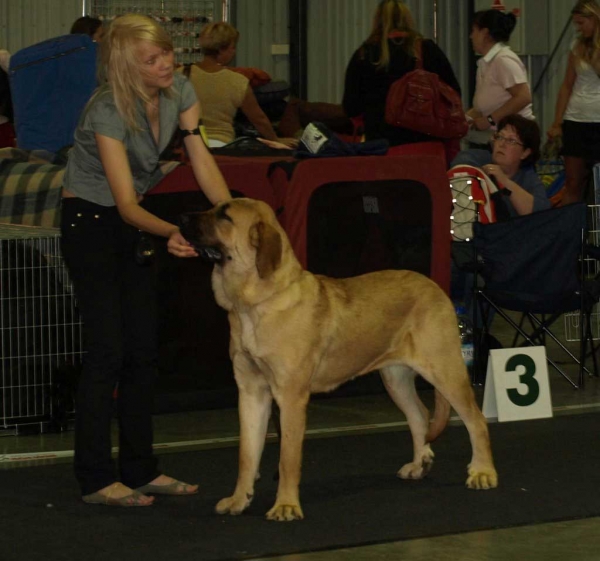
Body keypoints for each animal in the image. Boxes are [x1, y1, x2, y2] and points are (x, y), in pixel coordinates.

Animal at [180, 198, 500, 520]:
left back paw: (483, 472)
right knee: (420, 415)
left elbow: (288, 458)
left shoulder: (291, 396)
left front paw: (286, 505)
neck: (254, 304)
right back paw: (419, 464)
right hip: (395, 377)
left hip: (445, 369)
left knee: (476, 419)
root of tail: (435, 287)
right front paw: (238, 500)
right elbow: (247, 455)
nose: (181, 217)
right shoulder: (251, 393)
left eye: (225, 216)